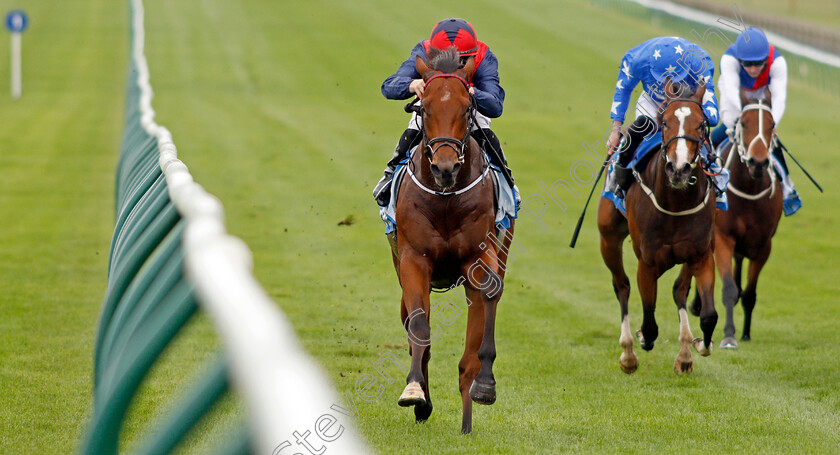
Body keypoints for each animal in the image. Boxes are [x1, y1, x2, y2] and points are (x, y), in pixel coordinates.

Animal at [390, 48, 516, 436]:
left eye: (466, 108)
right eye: (425, 108)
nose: (445, 168)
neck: (445, 198)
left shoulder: (479, 255)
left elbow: (490, 292)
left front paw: (486, 385)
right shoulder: (413, 259)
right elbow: (419, 325)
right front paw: (415, 391)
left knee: (468, 358)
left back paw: (467, 420)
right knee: (412, 322)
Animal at [596, 84, 716, 374]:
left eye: (701, 124)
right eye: (665, 123)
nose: (679, 168)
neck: (675, 201)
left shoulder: (701, 255)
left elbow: (709, 315)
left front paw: (699, 344)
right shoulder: (648, 264)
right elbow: (650, 326)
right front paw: (639, 340)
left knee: (679, 289)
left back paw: (684, 353)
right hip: (608, 239)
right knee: (622, 285)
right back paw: (628, 352)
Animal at [692, 97, 784, 350]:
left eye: (772, 124)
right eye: (743, 123)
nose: (758, 163)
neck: (749, 189)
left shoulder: (763, 246)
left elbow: (749, 294)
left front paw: (745, 334)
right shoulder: (723, 238)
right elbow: (729, 289)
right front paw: (729, 335)